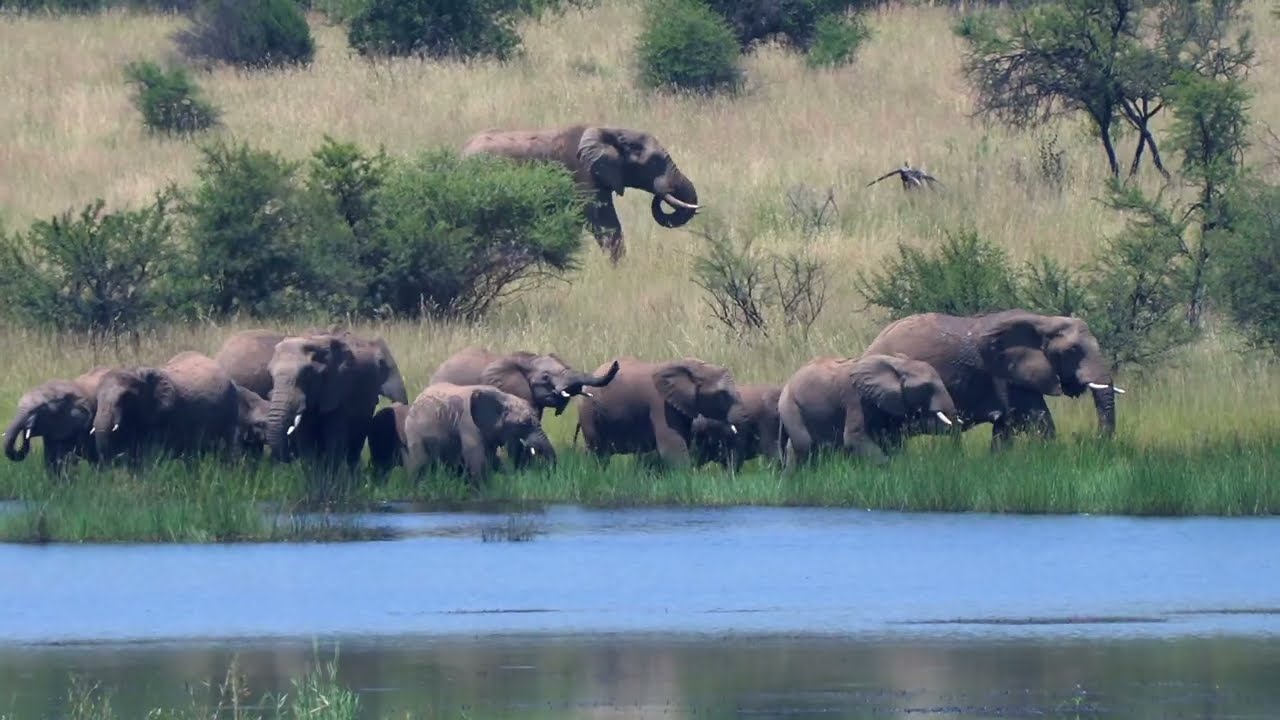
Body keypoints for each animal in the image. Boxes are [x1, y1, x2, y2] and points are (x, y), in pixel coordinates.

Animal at [264, 331, 409, 469]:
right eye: (270, 374)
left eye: (306, 374)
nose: (289, 454)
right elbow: (306, 444)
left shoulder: (340, 386)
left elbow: (335, 441)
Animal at [402, 383, 556, 486]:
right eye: (523, 424)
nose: (546, 475)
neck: (502, 397)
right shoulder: (468, 424)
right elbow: (477, 459)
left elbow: (492, 458)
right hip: (414, 432)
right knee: (418, 463)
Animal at [778, 354, 960, 469]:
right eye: (926, 387)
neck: (897, 363)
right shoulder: (854, 397)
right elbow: (854, 438)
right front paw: (890, 468)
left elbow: (892, 439)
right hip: (789, 404)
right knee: (804, 444)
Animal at [863, 310, 1123, 449]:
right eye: (1072, 351)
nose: (1093, 442)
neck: (1043, 320)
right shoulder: (1005, 374)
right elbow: (1039, 420)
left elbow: (1004, 427)